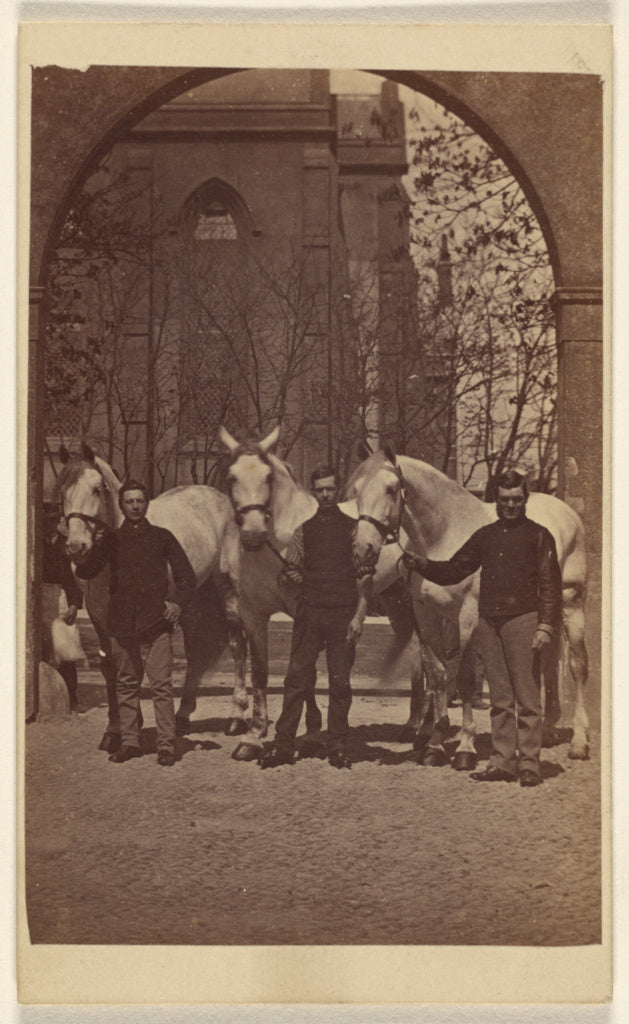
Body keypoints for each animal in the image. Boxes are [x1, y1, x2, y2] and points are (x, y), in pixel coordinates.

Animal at [217, 425, 452, 770]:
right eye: (231, 476)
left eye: (268, 478)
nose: (252, 534)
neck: (280, 542)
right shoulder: (252, 613)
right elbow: (261, 671)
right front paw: (254, 737)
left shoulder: (301, 611)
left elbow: (308, 674)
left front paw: (313, 732)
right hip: (397, 601)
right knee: (416, 656)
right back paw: (414, 728)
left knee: (429, 660)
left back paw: (428, 733)